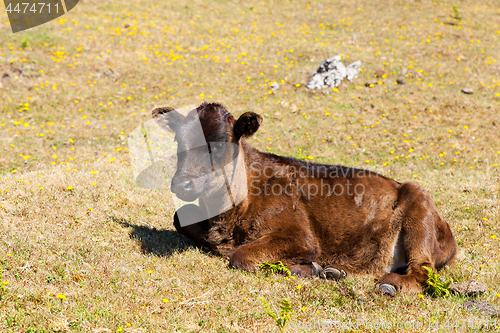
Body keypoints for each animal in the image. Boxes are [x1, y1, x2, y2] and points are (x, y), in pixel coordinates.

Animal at [152, 102, 458, 294]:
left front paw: (311, 268)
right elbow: (179, 218)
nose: (183, 184)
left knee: (423, 271)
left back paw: (389, 284)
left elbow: (240, 256)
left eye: (218, 144)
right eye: (179, 141)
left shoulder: (299, 235)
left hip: (418, 204)